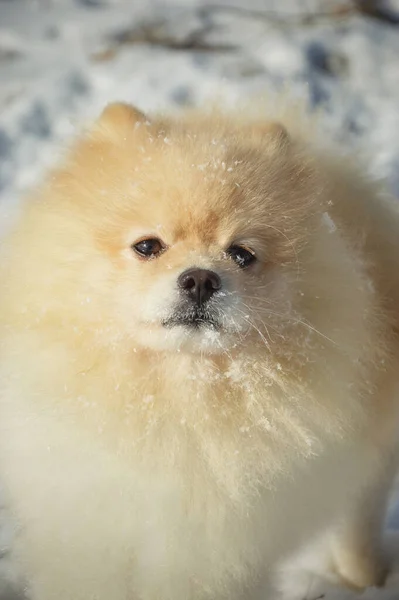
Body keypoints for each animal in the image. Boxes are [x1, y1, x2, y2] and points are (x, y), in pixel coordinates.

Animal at [0, 103, 399, 600]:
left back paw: (363, 574)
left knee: (359, 512)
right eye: (147, 246)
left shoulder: (206, 557)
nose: (200, 279)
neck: (177, 397)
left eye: (242, 254)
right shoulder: (90, 531)